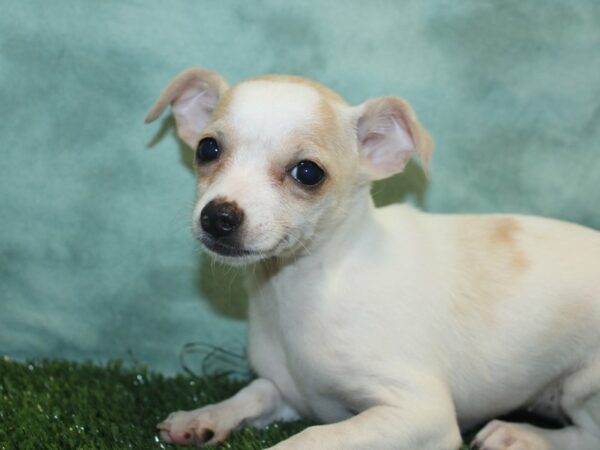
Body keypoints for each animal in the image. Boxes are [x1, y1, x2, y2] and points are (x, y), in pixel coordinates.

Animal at [145, 67, 600, 450]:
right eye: (207, 149)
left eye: (308, 172)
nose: (218, 216)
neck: (300, 292)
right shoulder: (290, 392)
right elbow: (253, 393)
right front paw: (204, 416)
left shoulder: (420, 413)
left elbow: (310, 439)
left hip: (583, 386)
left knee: (585, 436)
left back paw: (520, 435)